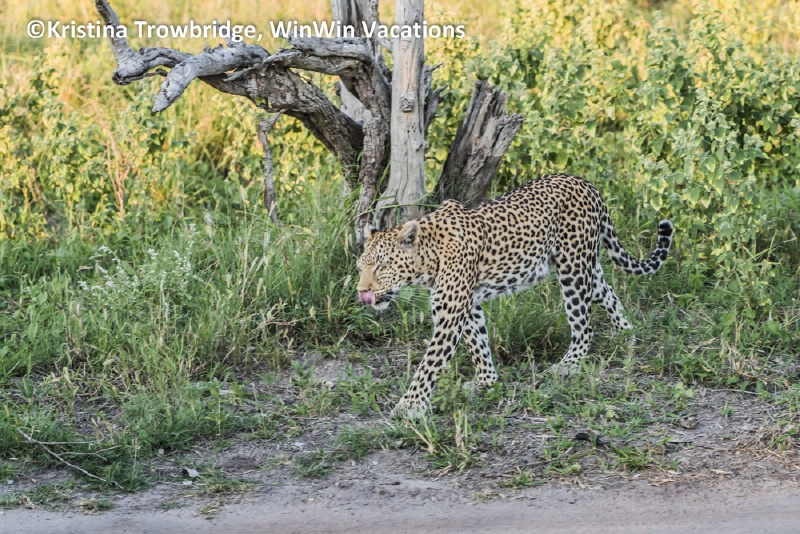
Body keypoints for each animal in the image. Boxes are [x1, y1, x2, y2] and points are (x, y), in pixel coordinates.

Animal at [356, 174, 673, 419]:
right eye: (360, 267)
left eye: (382, 266)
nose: (362, 292)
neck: (428, 257)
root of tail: (585, 182)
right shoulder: (467, 305)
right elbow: (478, 344)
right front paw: (486, 382)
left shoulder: (450, 316)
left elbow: (429, 364)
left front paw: (410, 406)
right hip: (585, 267)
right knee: (606, 292)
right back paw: (626, 336)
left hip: (572, 269)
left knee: (584, 326)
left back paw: (569, 365)